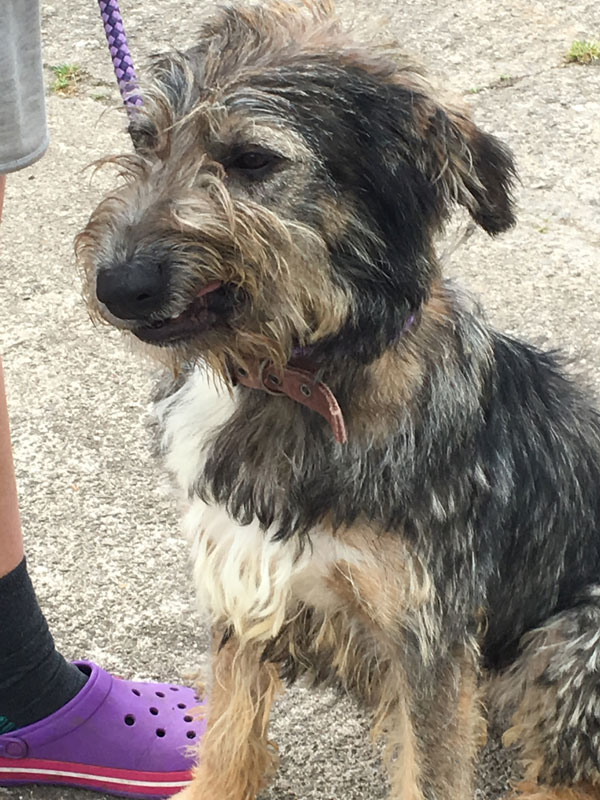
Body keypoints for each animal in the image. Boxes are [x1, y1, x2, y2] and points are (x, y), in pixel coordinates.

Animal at [77, 3, 600, 796]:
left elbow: (430, 772)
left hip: (575, 641)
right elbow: (229, 739)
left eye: (252, 160)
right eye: (146, 141)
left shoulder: (428, 640)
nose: (115, 286)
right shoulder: (243, 585)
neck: (291, 373)